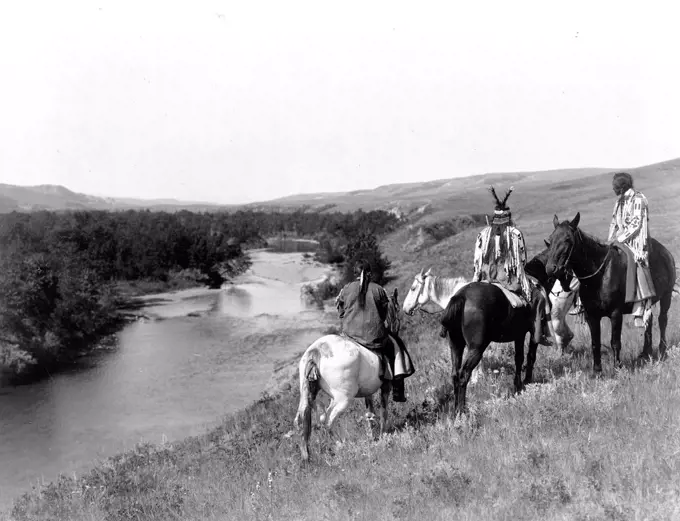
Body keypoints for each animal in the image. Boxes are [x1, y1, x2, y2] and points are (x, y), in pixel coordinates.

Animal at [540, 211, 676, 370]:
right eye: (551, 239)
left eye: (567, 239)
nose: (551, 269)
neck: (600, 276)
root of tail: (666, 253)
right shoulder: (591, 315)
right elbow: (595, 343)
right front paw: (597, 370)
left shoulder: (616, 314)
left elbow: (615, 342)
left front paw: (617, 367)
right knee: (649, 320)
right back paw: (645, 352)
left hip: (666, 296)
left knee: (662, 320)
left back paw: (662, 349)